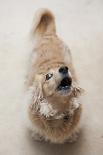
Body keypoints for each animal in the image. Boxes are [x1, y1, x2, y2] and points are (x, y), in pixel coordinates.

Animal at [25, 8, 83, 144]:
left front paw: (72, 137)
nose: (64, 68)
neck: (58, 112)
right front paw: (38, 136)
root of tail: (49, 34)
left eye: (66, 68)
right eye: (48, 76)